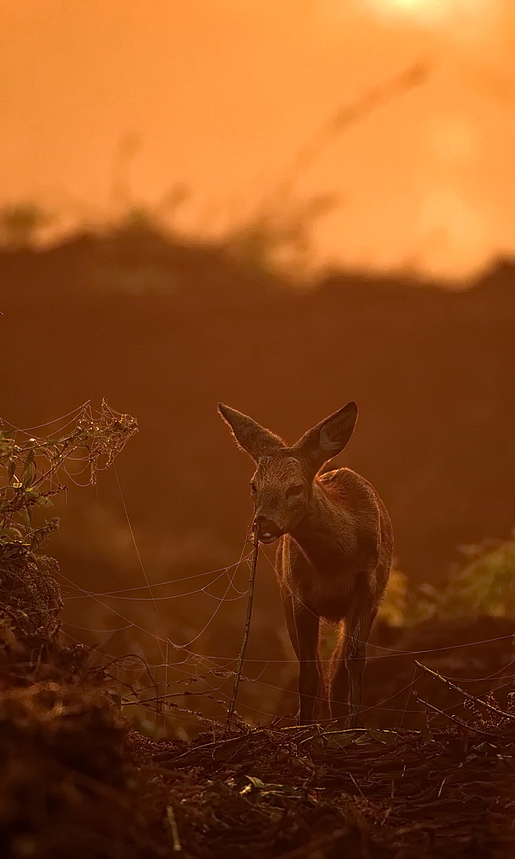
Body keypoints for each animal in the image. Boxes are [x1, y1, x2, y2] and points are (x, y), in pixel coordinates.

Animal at [219, 404, 396, 724]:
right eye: (254, 485)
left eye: (296, 488)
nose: (262, 524)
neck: (334, 562)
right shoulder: (299, 595)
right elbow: (308, 671)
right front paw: (305, 724)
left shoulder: (367, 588)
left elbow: (353, 660)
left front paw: (355, 725)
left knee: (337, 668)